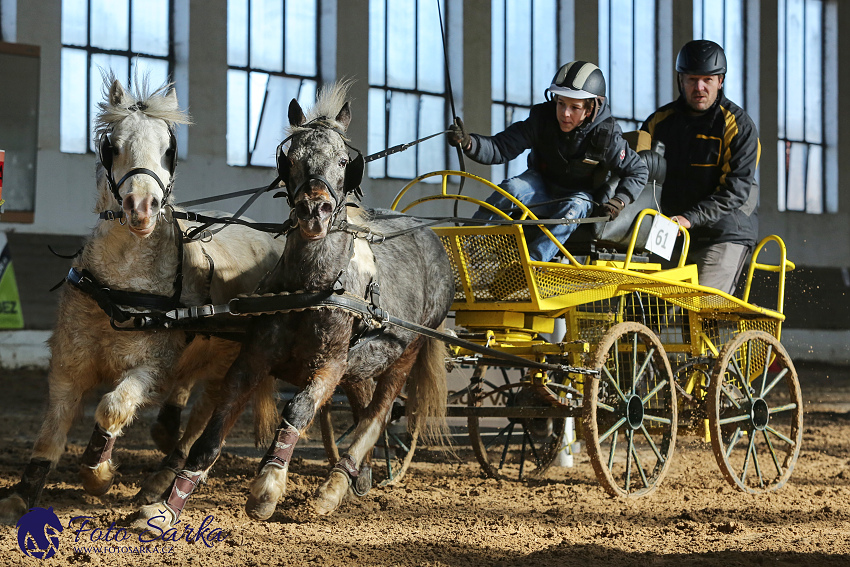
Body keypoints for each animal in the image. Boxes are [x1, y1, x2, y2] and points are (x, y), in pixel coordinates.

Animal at [0, 76, 284, 524]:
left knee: (203, 417)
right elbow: (52, 430)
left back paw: (162, 478)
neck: (120, 287)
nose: (141, 206)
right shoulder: (68, 364)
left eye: (169, 149)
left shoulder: (151, 367)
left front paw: (97, 474)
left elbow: (112, 407)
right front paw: (21, 495)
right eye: (112, 146)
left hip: (229, 364)